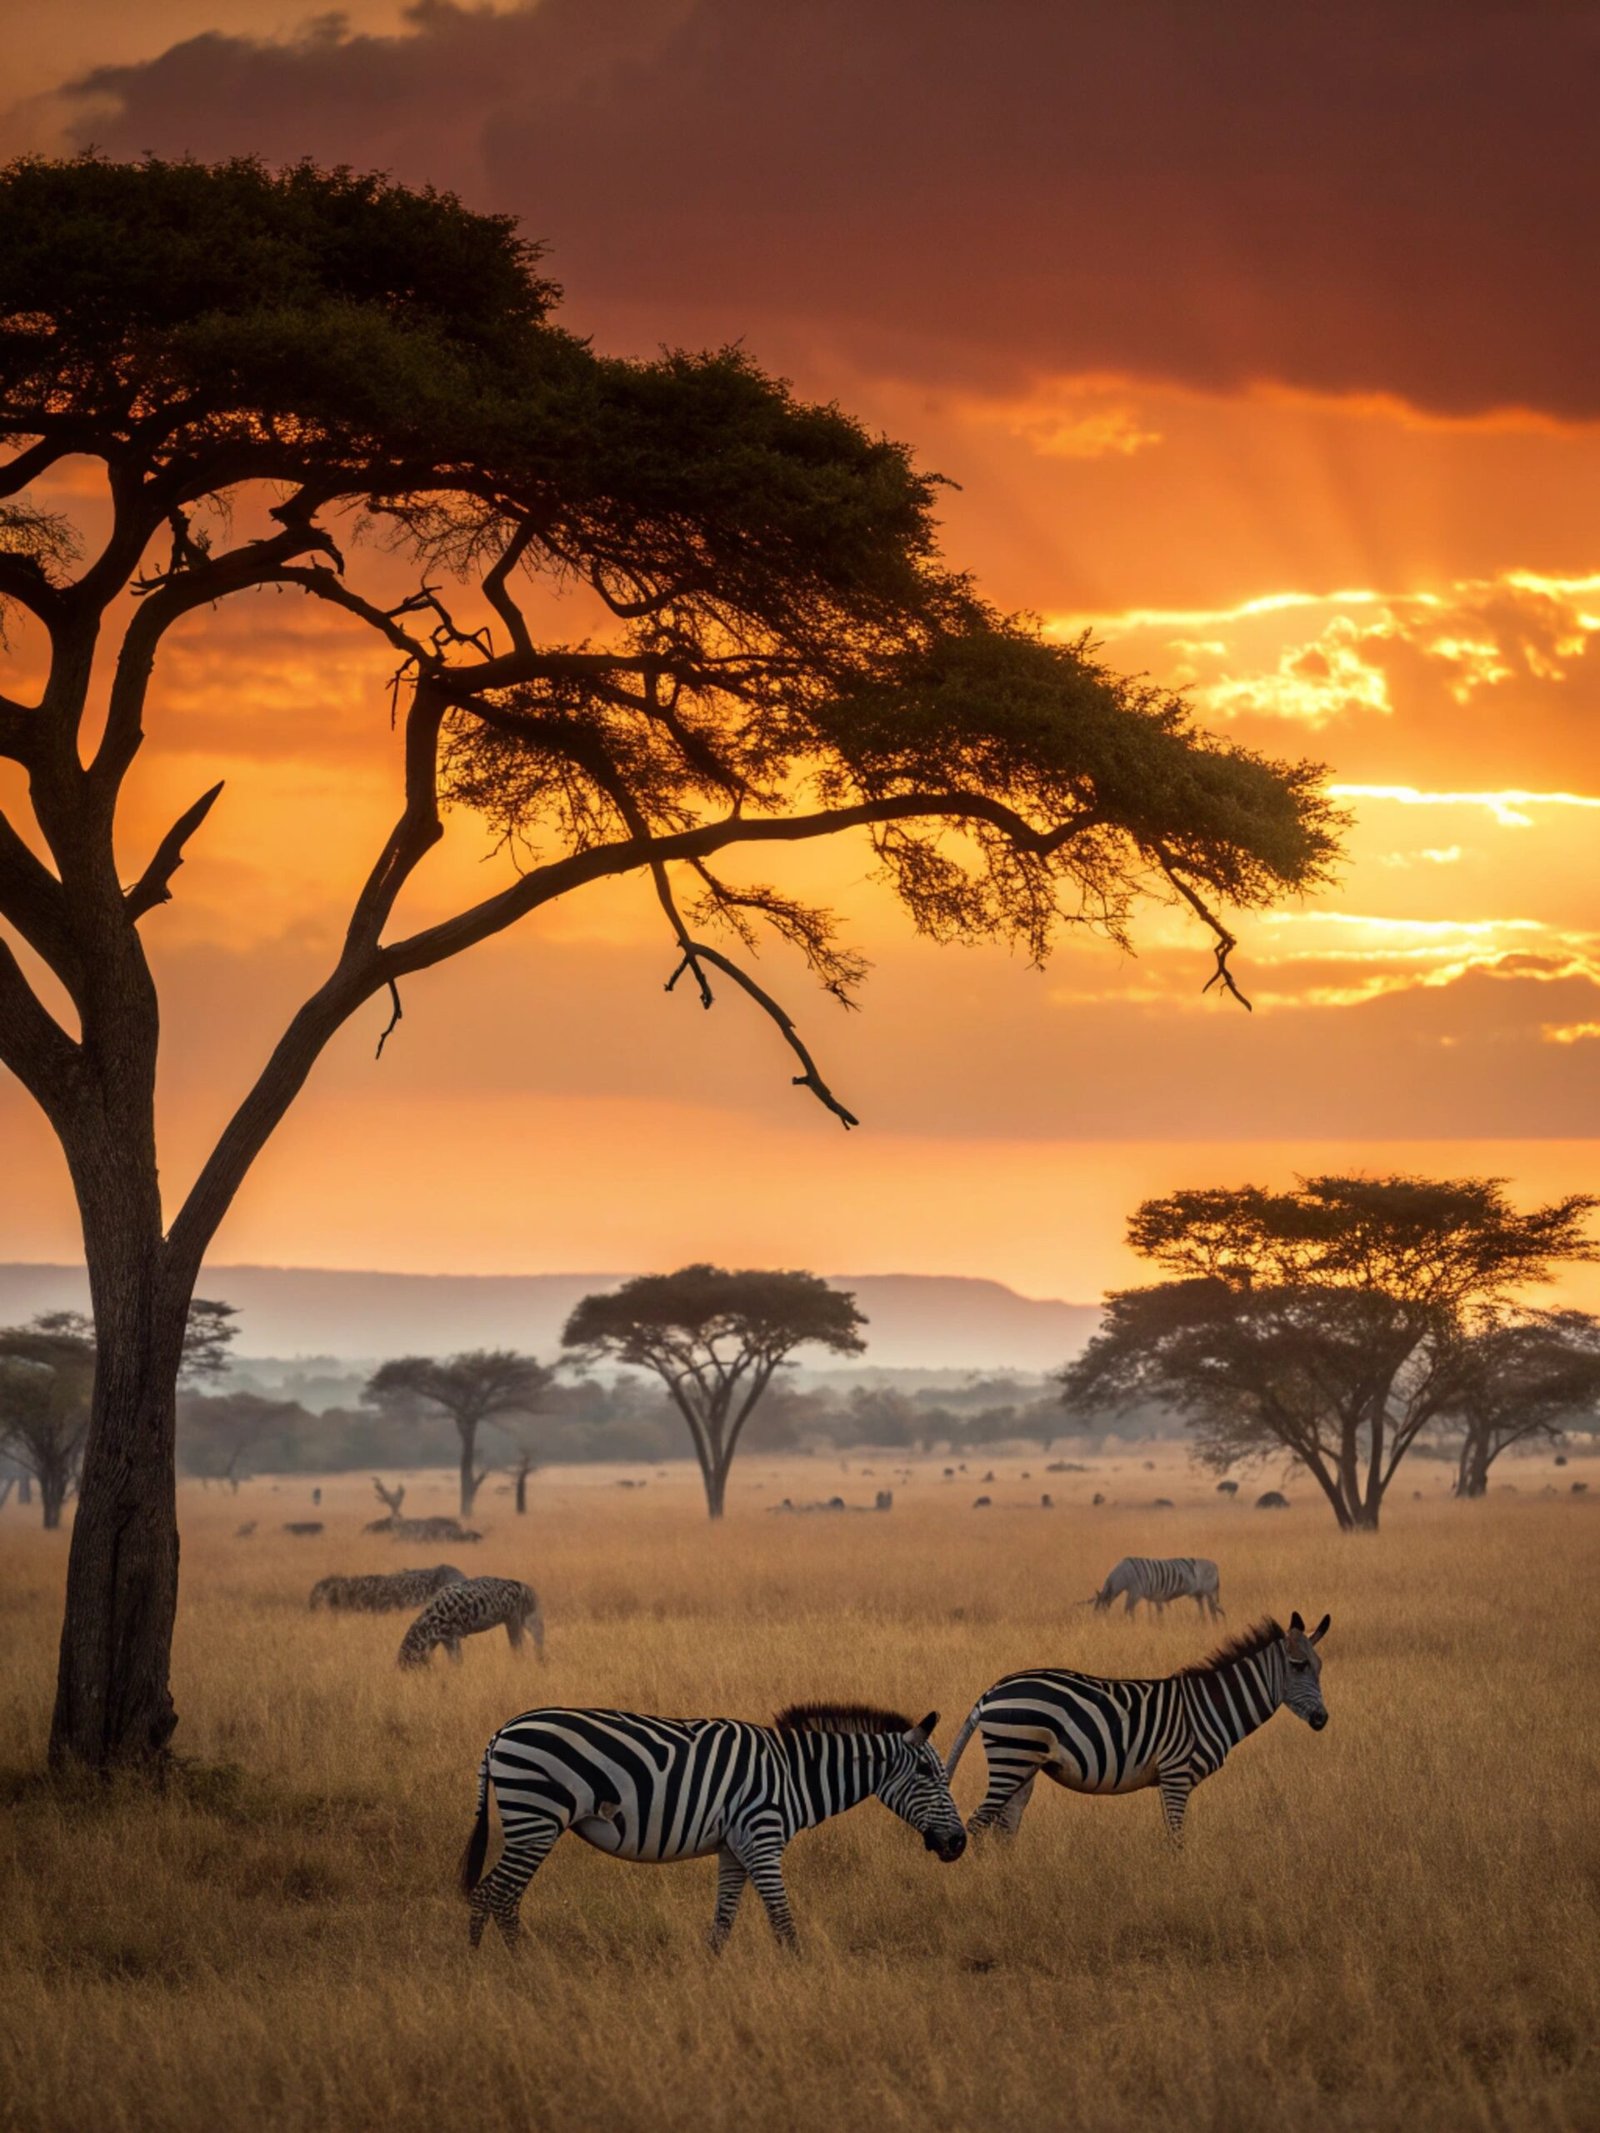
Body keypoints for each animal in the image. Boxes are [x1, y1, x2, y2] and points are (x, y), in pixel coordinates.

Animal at [397, 1576, 544, 1667]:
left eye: (409, 1665)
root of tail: (525, 1587)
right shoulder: (445, 1640)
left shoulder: (452, 1638)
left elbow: (457, 1661)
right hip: (526, 1618)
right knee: (538, 1635)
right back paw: (540, 1657)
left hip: (514, 1620)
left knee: (520, 1644)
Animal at [459, 1701, 966, 1951]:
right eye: (928, 1773)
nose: (959, 1843)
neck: (794, 1775)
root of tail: (500, 1732)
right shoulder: (762, 1839)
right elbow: (783, 1922)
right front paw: (802, 1977)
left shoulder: (733, 1848)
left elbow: (722, 1922)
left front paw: (710, 1978)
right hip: (536, 1818)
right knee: (494, 1896)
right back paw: (509, 1969)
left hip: (531, 1822)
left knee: (497, 1897)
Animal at [946, 1613, 1330, 1843]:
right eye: (1298, 1666)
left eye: (1320, 1667)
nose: (1322, 1720)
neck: (1209, 1707)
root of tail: (993, 1690)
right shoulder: (1176, 1774)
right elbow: (1176, 1838)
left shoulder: (1169, 1779)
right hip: (1013, 1756)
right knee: (978, 1822)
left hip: (1023, 1764)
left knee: (1004, 1825)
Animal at [1090, 1555, 1224, 1619]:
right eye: (1095, 1610)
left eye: (1101, 1609)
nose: (1099, 1623)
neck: (1124, 1575)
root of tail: (1215, 1565)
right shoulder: (1136, 1593)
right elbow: (1130, 1609)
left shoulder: (1136, 1592)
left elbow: (1128, 1609)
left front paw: (1130, 1623)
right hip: (1199, 1594)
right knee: (1205, 1611)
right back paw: (1204, 1624)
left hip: (1209, 1592)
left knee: (1213, 1611)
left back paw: (1214, 1625)